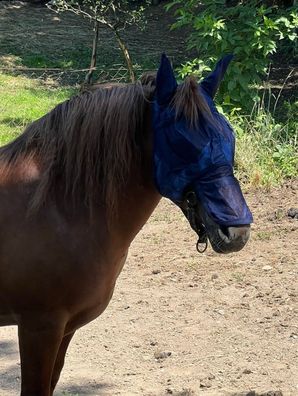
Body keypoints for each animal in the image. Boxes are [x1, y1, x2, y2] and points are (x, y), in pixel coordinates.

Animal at [0, 55, 251, 396]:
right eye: (178, 142)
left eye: (229, 135)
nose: (237, 231)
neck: (55, 206)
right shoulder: (39, 328)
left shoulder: (64, 329)